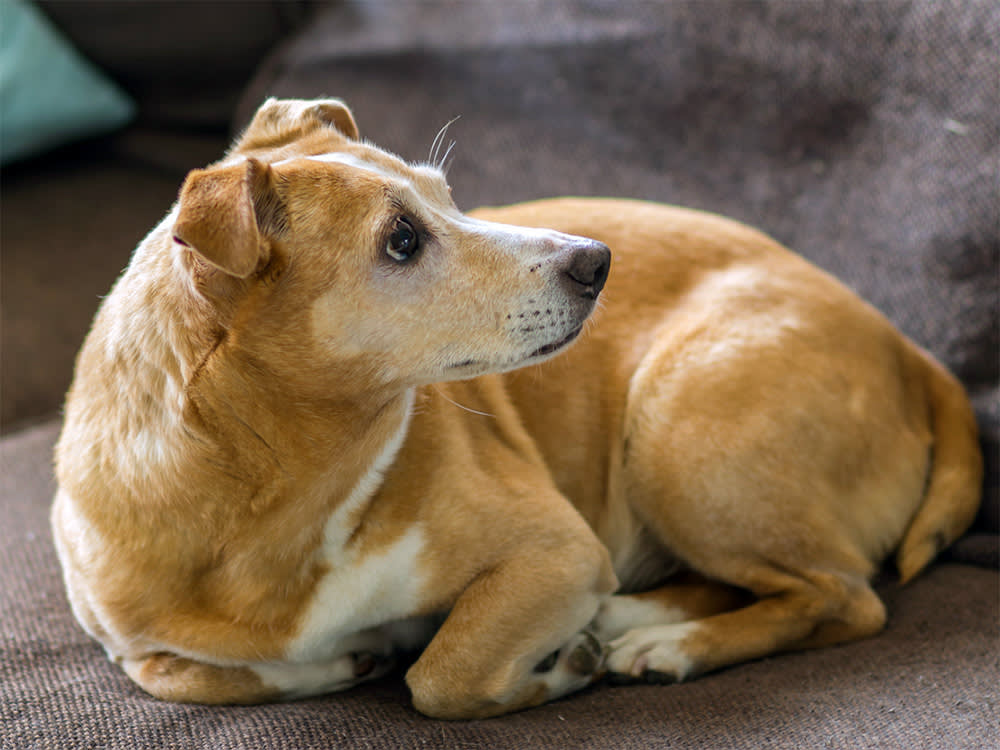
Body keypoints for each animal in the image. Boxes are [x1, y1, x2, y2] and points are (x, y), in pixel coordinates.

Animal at [50, 97, 980, 720]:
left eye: (446, 194)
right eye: (401, 241)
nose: (599, 261)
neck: (282, 496)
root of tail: (903, 343)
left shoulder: (554, 551)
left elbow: (442, 676)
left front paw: (551, 669)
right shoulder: (130, 643)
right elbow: (188, 675)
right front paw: (344, 660)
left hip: (679, 432)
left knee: (843, 596)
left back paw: (661, 645)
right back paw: (633, 617)